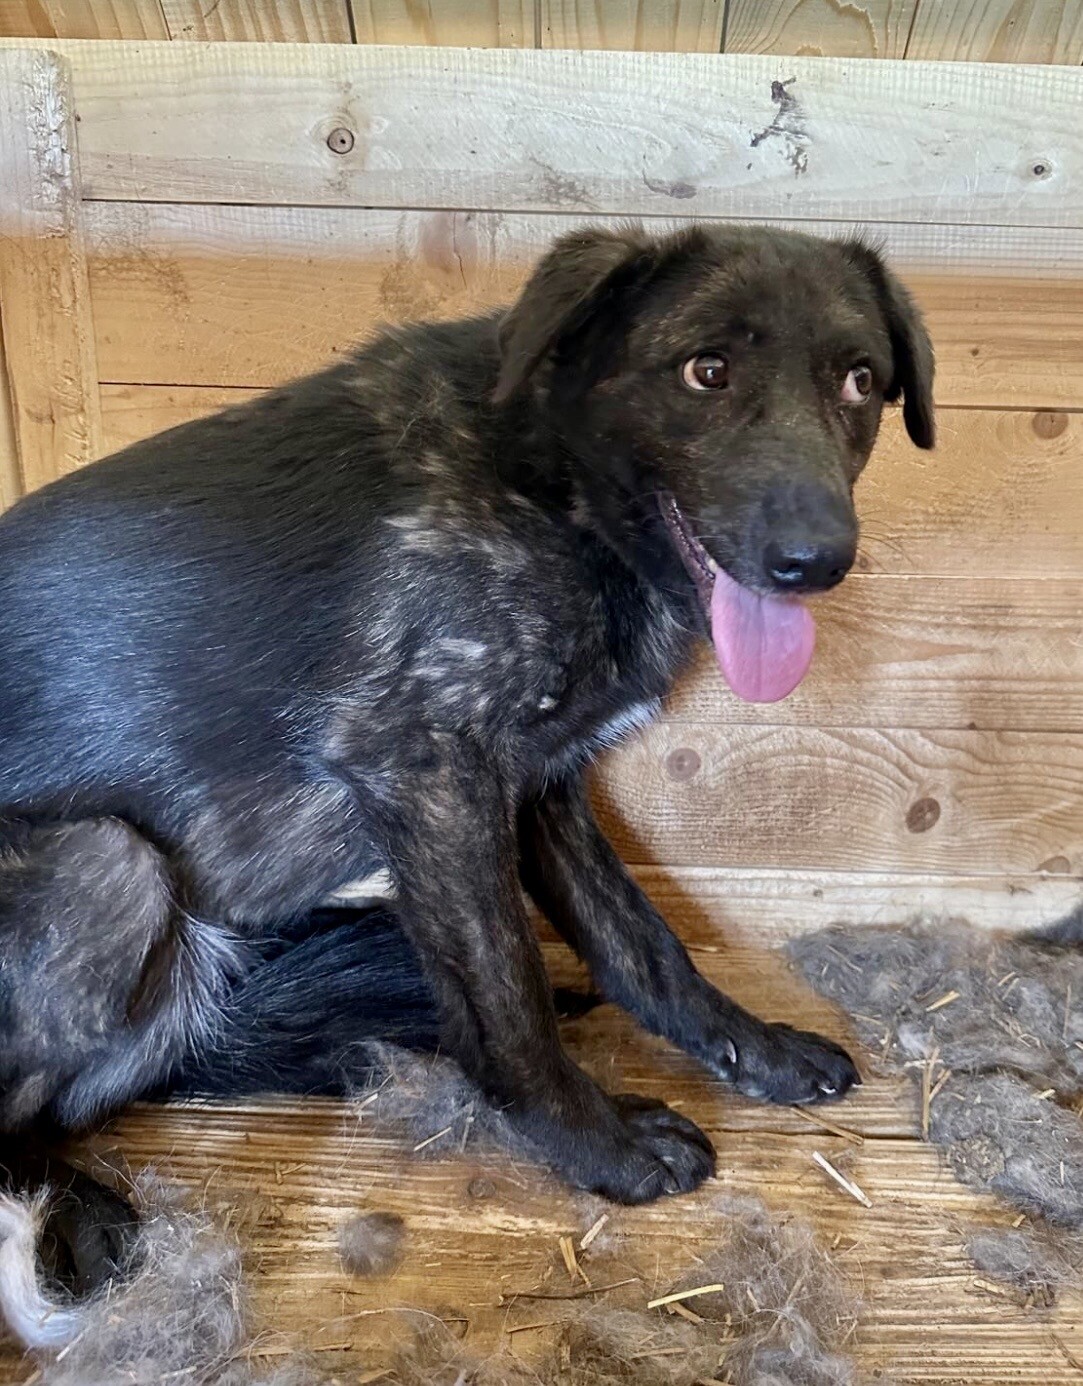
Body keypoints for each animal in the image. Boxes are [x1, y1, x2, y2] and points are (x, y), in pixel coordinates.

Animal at [0, 223, 933, 1321]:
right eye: (705, 371)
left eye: (859, 380)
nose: (815, 560)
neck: (550, 486)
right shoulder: (434, 778)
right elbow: (511, 998)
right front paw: (603, 1149)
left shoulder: (541, 790)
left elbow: (643, 945)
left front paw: (755, 1051)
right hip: (106, 865)